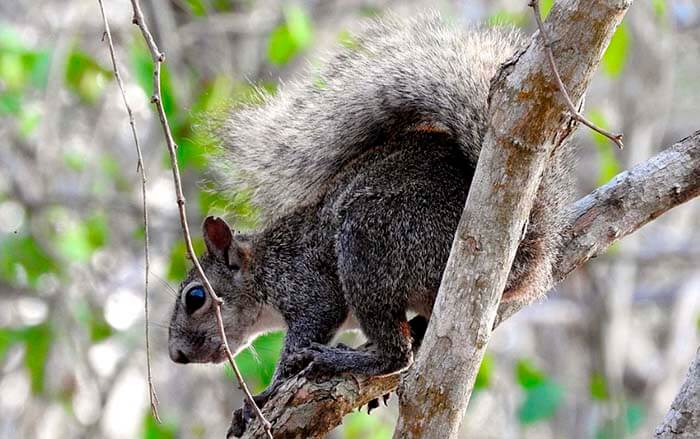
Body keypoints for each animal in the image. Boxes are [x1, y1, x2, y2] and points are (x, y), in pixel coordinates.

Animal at [167, 11, 573, 437]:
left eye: (195, 297)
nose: (176, 355)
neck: (263, 266)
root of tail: (518, 255)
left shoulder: (307, 285)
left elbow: (305, 333)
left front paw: (260, 399)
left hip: (370, 240)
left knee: (397, 356)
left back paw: (340, 359)